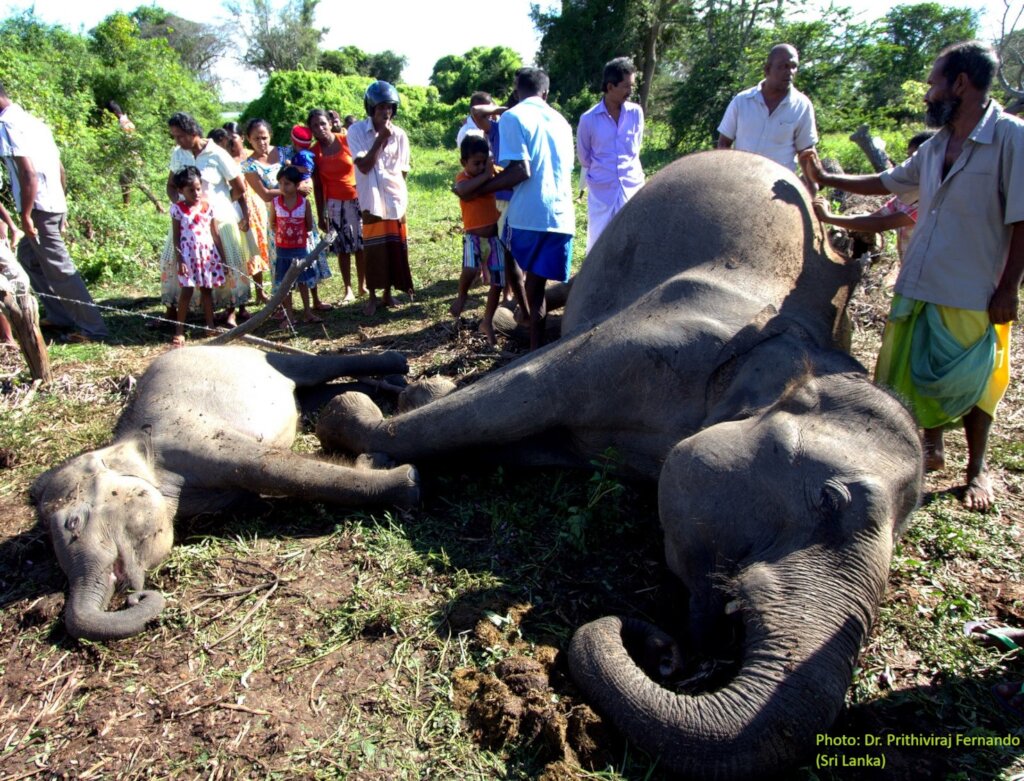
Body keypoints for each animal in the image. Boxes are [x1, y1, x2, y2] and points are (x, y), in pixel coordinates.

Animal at [32, 346, 420, 643]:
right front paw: (381, 465)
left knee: (311, 368)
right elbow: (247, 493)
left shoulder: (195, 435)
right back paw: (394, 383)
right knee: (307, 392)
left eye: (73, 521)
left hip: (258, 358)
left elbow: (270, 467)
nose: (132, 598)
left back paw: (398, 365)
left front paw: (407, 482)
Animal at [314, 151, 923, 779]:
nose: (666, 652)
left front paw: (408, 403)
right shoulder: (659, 336)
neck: (798, 352)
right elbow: (521, 392)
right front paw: (358, 419)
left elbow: (521, 436)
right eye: (831, 499)